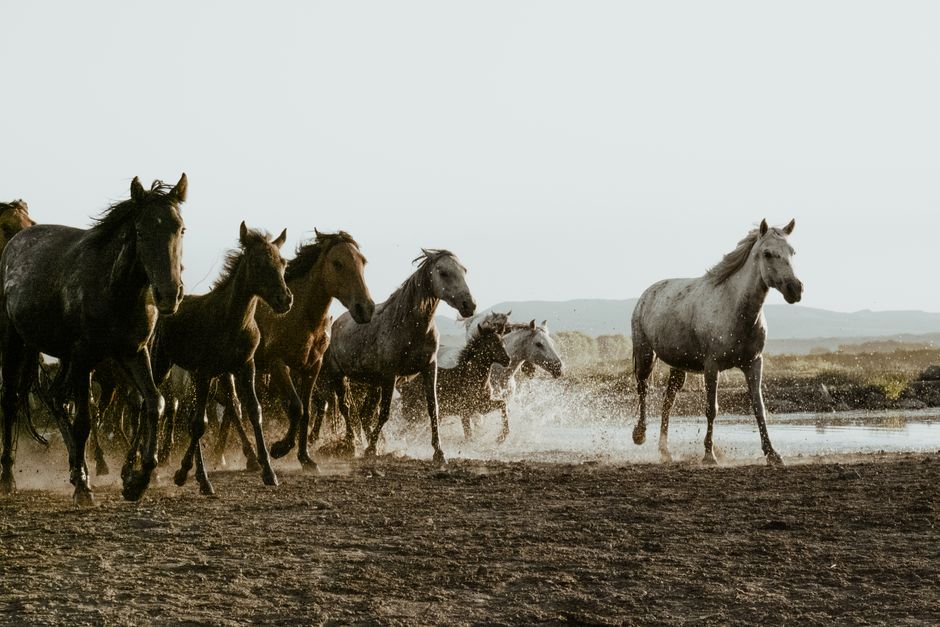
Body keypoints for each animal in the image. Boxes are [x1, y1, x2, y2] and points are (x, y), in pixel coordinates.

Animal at [0, 174, 187, 503]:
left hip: (65, 357)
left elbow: (155, 403)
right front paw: (85, 489)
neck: (115, 290)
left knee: (56, 398)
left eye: (181, 229)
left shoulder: (134, 352)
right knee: (11, 401)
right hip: (16, 344)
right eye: (141, 231)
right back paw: (10, 477)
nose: (169, 295)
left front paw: (137, 481)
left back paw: (77, 469)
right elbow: (85, 420)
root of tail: (16, 242)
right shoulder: (86, 358)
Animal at [150, 222, 292, 496]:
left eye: (283, 262)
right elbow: (198, 425)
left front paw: (269, 471)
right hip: (163, 364)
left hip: (211, 375)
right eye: (257, 262)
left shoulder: (245, 368)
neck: (232, 321)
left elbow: (254, 412)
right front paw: (194, 477)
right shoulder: (204, 372)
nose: (285, 299)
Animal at [314, 249, 476, 463]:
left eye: (464, 270)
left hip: (374, 383)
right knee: (346, 408)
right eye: (443, 272)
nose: (469, 305)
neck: (410, 326)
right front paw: (371, 449)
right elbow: (384, 413)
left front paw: (439, 452)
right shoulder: (390, 374)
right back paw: (352, 445)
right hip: (339, 376)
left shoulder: (429, 368)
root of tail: (335, 324)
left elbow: (433, 410)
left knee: (365, 414)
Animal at [631, 219, 803, 466]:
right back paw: (639, 435)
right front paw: (709, 455)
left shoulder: (754, 364)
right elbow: (712, 409)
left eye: (792, 251)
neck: (735, 309)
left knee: (668, 401)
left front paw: (772, 454)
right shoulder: (711, 366)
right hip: (645, 354)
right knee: (643, 389)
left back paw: (665, 451)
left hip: (679, 366)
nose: (795, 289)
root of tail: (647, 294)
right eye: (768, 253)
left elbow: (759, 408)